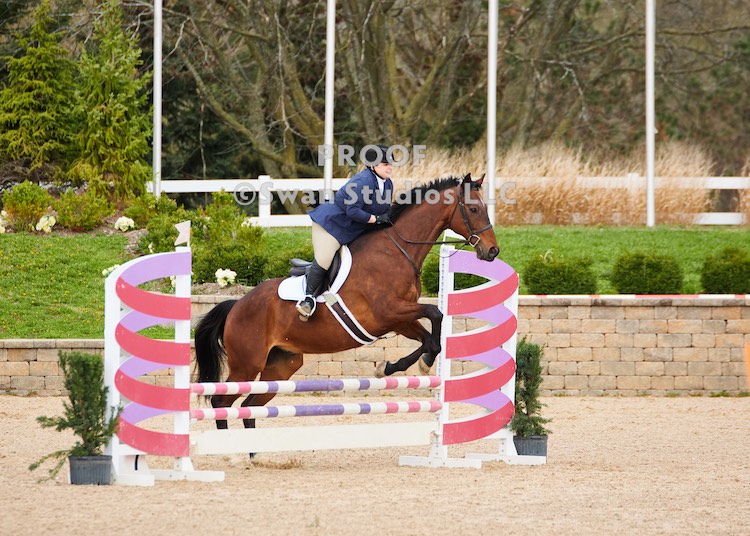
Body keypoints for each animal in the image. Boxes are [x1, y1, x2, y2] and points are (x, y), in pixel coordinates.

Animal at [194, 174, 499, 442]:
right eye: (473, 209)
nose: (492, 251)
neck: (397, 251)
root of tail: (237, 305)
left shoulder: (399, 319)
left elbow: (429, 338)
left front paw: (393, 367)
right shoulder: (388, 312)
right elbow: (436, 314)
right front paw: (416, 365)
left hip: (281, 365)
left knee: (251, 406)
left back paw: (252, 454)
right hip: (247, 363)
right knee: (221, 401)